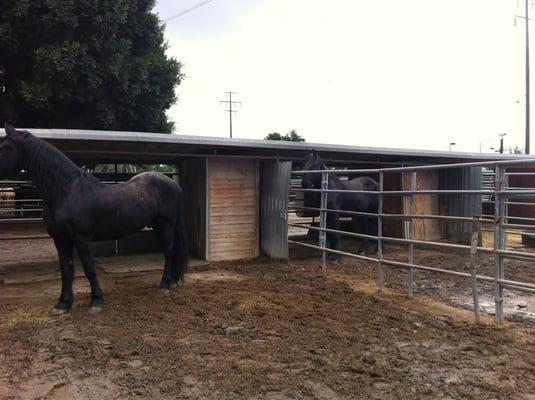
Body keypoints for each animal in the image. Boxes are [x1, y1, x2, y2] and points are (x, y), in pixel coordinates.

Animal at [0, 126, 188, 314]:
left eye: (4, 147)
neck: (67, 192)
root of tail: (174, 184)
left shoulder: (81, 238)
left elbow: (89, 268)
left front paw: (96, 301)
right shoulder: (60, 239)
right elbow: (66, 270)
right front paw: (62, 304)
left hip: (165, 225)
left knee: (169, 251)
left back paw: (165, 284)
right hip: (157, 225)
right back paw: (172, 281)